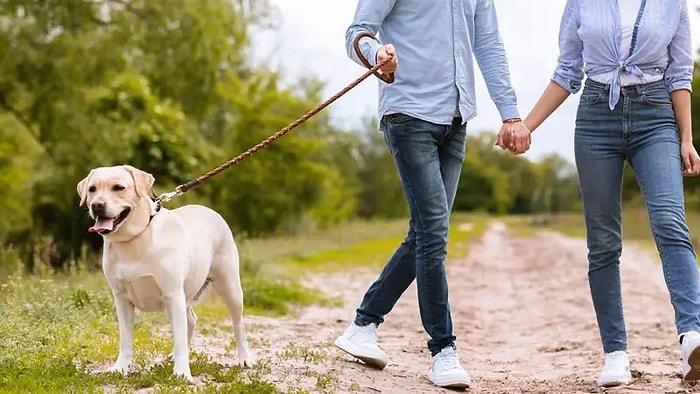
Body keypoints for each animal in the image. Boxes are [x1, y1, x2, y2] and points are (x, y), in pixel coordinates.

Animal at [76, 165, 254, 382]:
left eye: (118, 187)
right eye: (92, 189)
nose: (96, 205)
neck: (134, 238)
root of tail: (209, 210)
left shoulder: (172, 293)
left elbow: (178, 336)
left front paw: (182, 373)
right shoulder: (121, 299)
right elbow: (125, 339)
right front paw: (121, 367)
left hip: (229, 286)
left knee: (238, 324)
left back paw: (244, 358)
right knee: (191, 320)